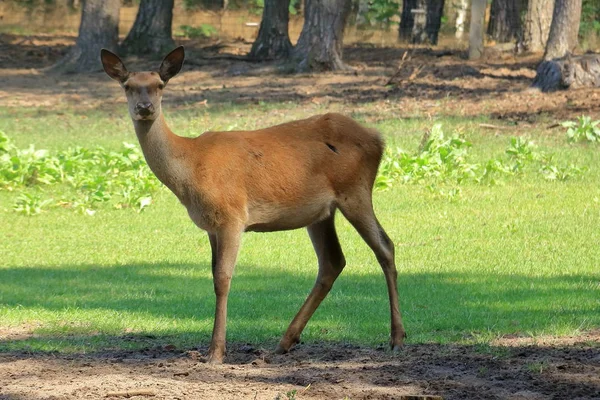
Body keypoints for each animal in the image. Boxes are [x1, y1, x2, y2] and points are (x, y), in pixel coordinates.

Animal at [101, 46, 406, 362]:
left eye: (160, 84)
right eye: (128, 86)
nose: (145, 107)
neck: (190, 167)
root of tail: (379, 140)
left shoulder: (233, 215)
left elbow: (222, 278)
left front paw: (216, 352)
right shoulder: (211, 226)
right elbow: (213, 274)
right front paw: (213, 348)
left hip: (355, 191)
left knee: (385, 246)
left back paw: (396, 338)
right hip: (321, 212)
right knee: (333, 261)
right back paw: (286, 340)